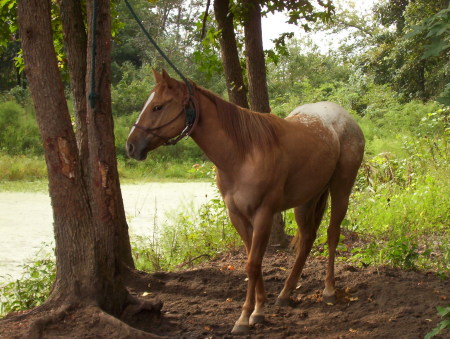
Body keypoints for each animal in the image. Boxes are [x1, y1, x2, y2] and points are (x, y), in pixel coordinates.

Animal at [125, 69, 364, 334]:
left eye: (158, 107)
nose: (130, 146)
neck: (244, 153)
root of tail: (344, 118)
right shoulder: (237, 215)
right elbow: (253, 261)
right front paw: (258, 311)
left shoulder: (263, 214)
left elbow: (253, 263)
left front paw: (244, 318)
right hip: (307, 199)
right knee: (307, 239)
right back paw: (285, 294)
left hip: (341, 188)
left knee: (332, 233)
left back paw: (329, 290)